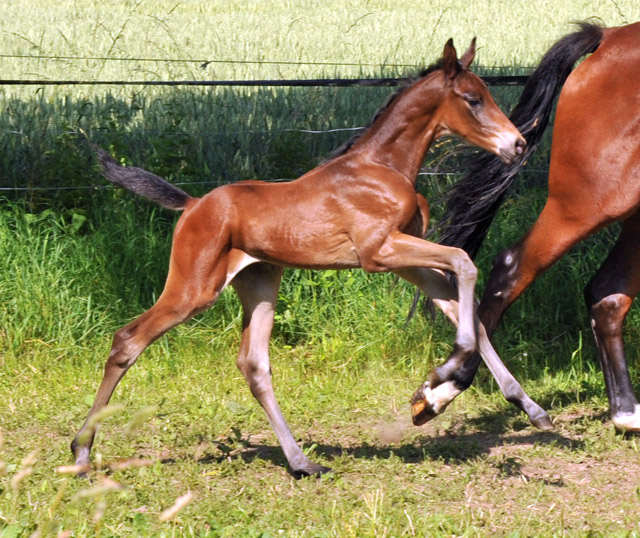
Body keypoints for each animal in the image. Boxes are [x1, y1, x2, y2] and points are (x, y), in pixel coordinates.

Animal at [74, 38, 544, 478]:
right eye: (473, 99)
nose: (518, 144)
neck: (382, 168)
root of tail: (191, 205)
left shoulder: (408, 259)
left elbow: (465, 307)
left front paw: (523, 405)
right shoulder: (379, 252)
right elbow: (464, 264)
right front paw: (438, 378)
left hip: (260, 282)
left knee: (253, 365)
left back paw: (302, 461)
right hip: (194, 288)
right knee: (128, 341)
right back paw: (80, 452)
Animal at [432, 22, 640, 432]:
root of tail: (608, 37)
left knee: (608, 294)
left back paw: (626, 412)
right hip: (584, 205)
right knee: (511, 268)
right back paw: (446, 390)